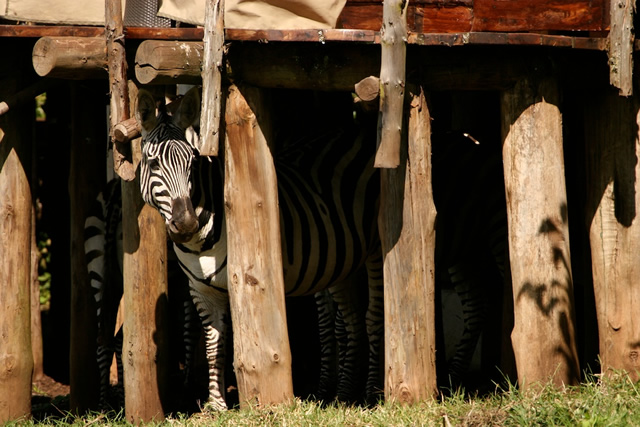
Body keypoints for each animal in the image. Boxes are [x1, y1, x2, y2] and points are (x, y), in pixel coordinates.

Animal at [136, 87, 382, 412]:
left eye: (192, 163)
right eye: (153, 165)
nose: (186, 222)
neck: (199, 244)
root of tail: (354, 133)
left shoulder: (244, 282)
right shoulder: (201, 290)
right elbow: (214, 344)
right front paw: (217, 406)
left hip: (375, 250)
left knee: (373, 316)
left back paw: (372, 393)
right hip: (342, 257)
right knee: (351, 320)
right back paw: (343, 395)